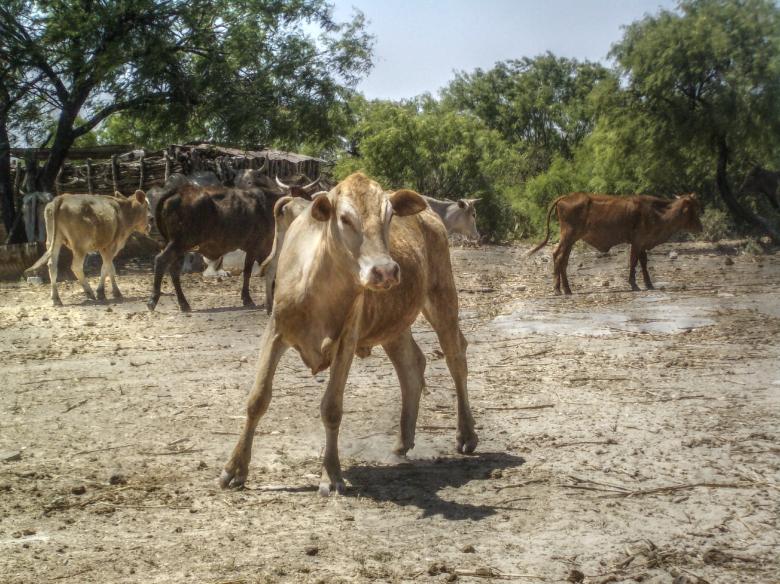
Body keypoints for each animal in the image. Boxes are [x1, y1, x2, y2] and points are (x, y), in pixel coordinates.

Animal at [219, 173, 478, 496]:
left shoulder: (347, 338)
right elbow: (257, 400)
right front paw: (235, 468)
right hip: (394, 321)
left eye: (389, 215)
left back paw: (466, 434)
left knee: (456, 357)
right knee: (412, 366)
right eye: (344, 218)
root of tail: (431, 215)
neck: (317, 286)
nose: (385, 271)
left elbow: (331, 407)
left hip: (442, 298)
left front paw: (331, 474)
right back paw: (403, 441)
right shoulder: (276, 331)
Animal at [529, 192, 703, 294]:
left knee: (562, 259)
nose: (701, 227)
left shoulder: (642, 242)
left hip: (571, 239)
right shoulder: (637, 241)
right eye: (694, 209)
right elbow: (634, 262)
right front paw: (634, 284)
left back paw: (566, 289)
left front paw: (649, 284)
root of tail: (565, 197)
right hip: (568, 235)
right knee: (558, 256)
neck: (657, 212)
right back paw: (558, 289)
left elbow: (643, 263)